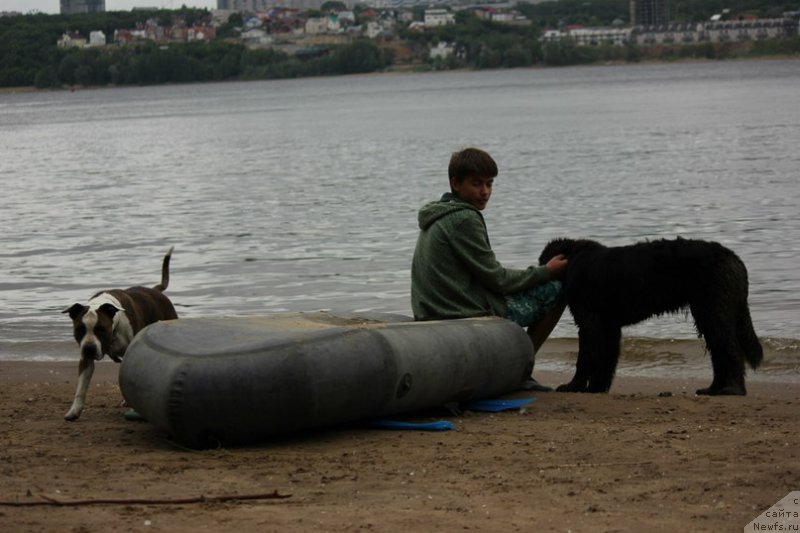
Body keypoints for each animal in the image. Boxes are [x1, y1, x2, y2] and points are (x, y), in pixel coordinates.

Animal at [62, 246, 178, 420]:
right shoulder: (86, 360)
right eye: (79, 329)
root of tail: (156, 290)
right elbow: (81, 387)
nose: (89, 349)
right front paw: (74, 410)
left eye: (101, 329)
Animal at [536, 238, 764, 394]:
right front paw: (597, 388)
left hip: (712, 310)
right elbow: (607, 360)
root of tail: (734, 259)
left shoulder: (590, 323)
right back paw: (714, 388)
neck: (573, 258)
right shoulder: (609, 326)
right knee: (720, 352)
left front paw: (574, 385)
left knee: (729, 350)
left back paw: (730, 389)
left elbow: (585, 358)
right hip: (711, 313)